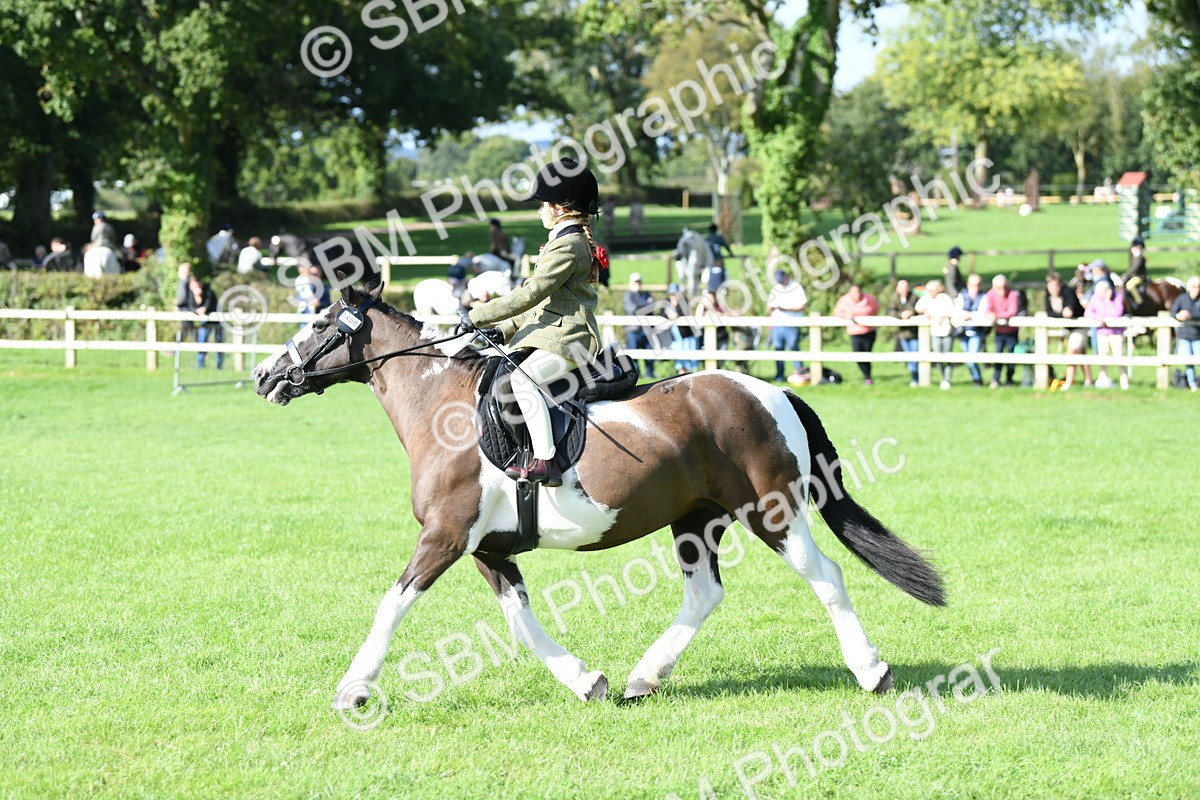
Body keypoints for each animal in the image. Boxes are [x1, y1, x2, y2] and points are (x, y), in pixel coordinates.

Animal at [252, 270, 945, 710]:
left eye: (318, 322)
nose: (264, 375)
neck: (443, 407)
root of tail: (768, 390)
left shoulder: (445, 537)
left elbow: (391, 605)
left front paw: (353, 690)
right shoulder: (487, 549)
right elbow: (520, 621)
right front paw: (587, 682)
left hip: (771, 513)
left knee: (825, 576)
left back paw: (872, 671)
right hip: (696, 519)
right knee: (704, 593)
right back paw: (644, 679)